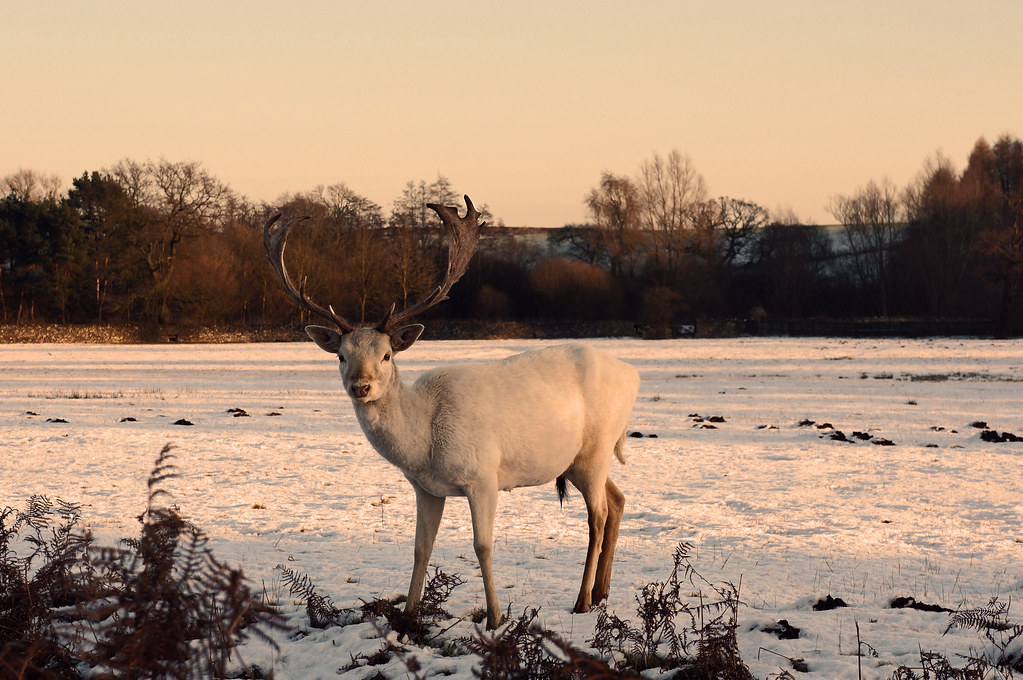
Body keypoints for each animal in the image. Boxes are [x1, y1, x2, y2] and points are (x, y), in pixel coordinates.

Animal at [263, 195, 639, 629]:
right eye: (341, 356)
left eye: (387, 355)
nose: (361, 387)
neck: (424, 443)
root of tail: (633, 375)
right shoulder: (425, 488)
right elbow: (420, 549)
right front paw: (408, 617)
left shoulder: (483, 477)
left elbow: (482, 546)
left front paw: (495, 618)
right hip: (580, 461)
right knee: (618, 500)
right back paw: (601, 592)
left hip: (595, 449)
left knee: (597, 517)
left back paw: (582, 600)